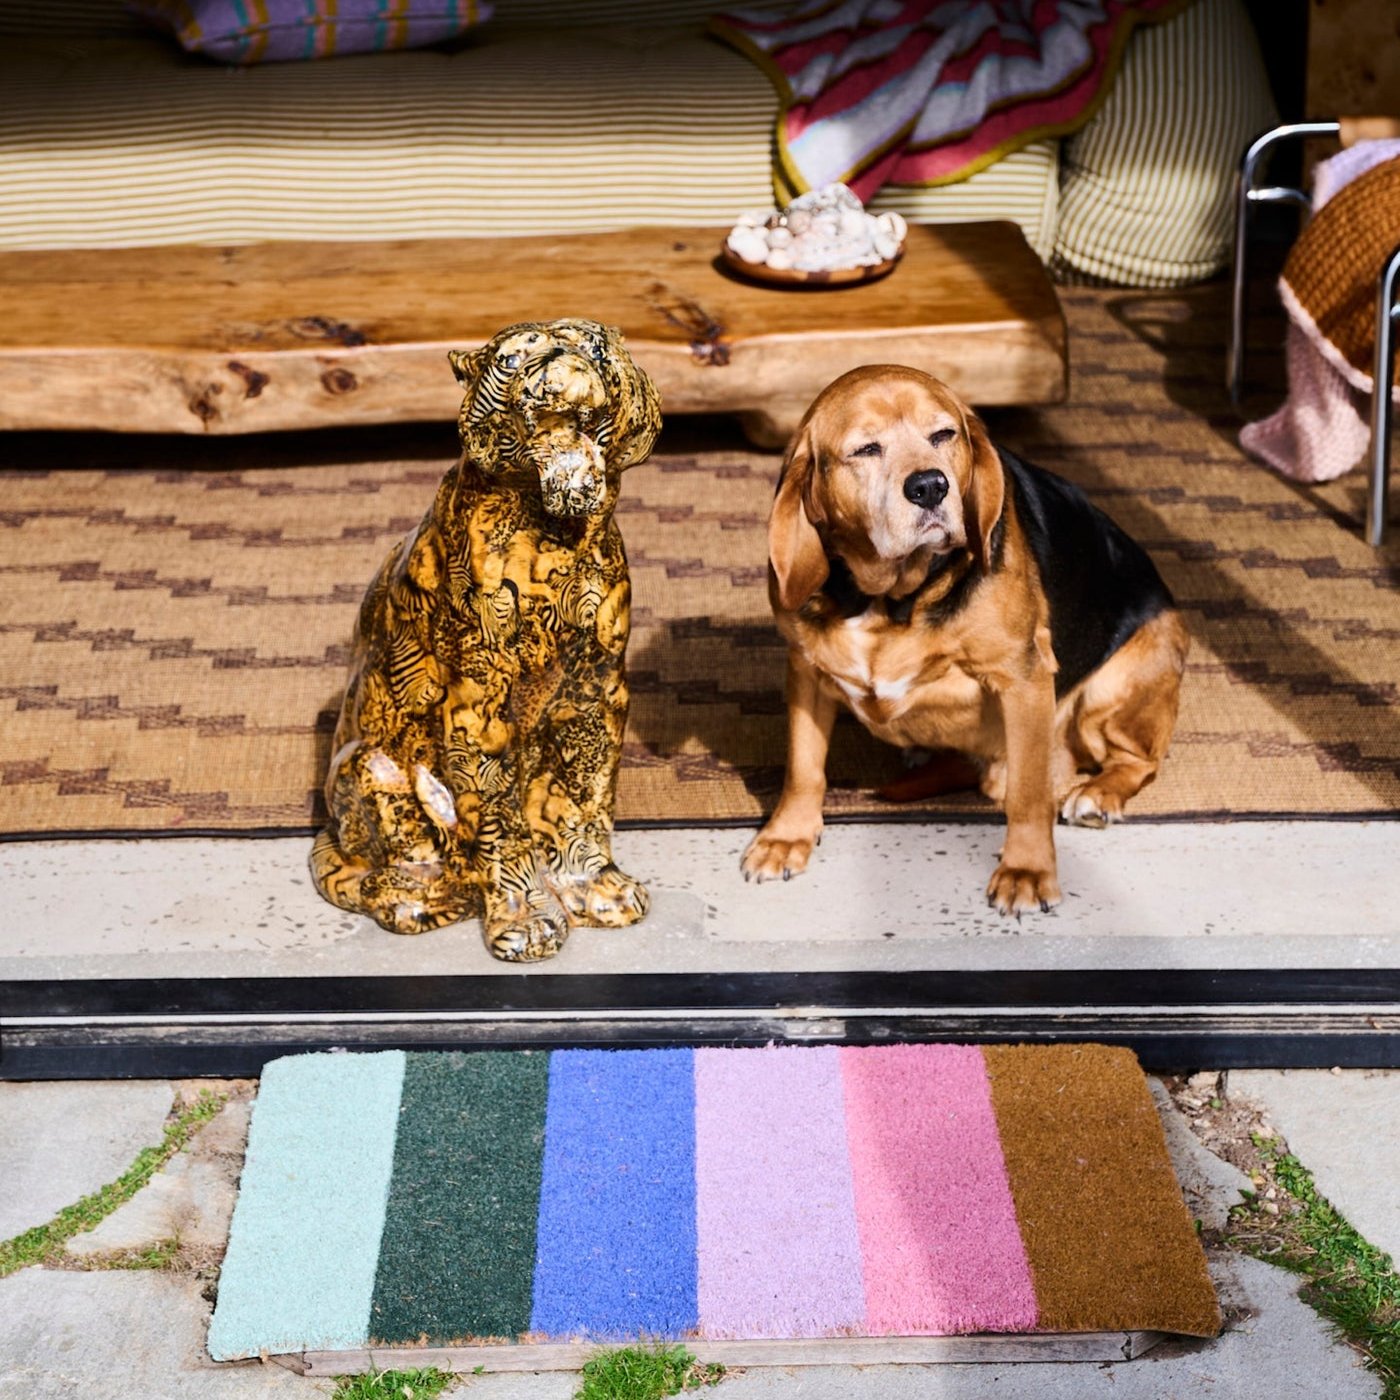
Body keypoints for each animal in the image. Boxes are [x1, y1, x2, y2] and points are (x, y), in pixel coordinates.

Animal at [739, 366, 1187, 912]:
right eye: (866, 449)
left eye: (943, 435)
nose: (930, 486)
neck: (891, 599)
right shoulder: (805, 669)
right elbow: (803, 770)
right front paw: (786, 837)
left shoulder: (1022, 679)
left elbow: (1028, 793)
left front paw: (1027, 870)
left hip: (1116, 687)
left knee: (1136, 760)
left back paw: (1097, 795)